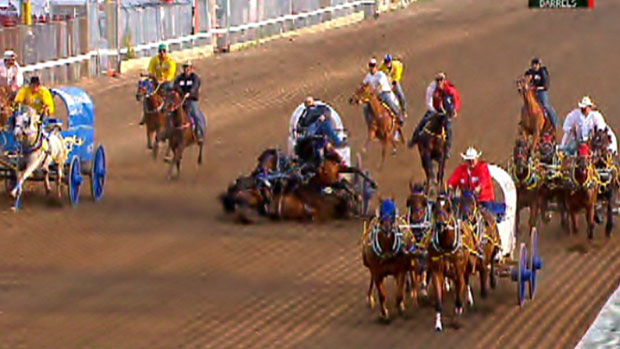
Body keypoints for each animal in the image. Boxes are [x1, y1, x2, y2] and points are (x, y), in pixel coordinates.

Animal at [428, 192, 478, 330]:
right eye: (435, 207)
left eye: (449, 208)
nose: (440, 224)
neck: (446, 247)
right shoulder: (437, 272)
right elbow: (439, 301)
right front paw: (438, 324)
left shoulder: (459, 272)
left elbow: (459, 299)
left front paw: (456, 319)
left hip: (468, 265)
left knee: (466, 281)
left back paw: (469, 300)